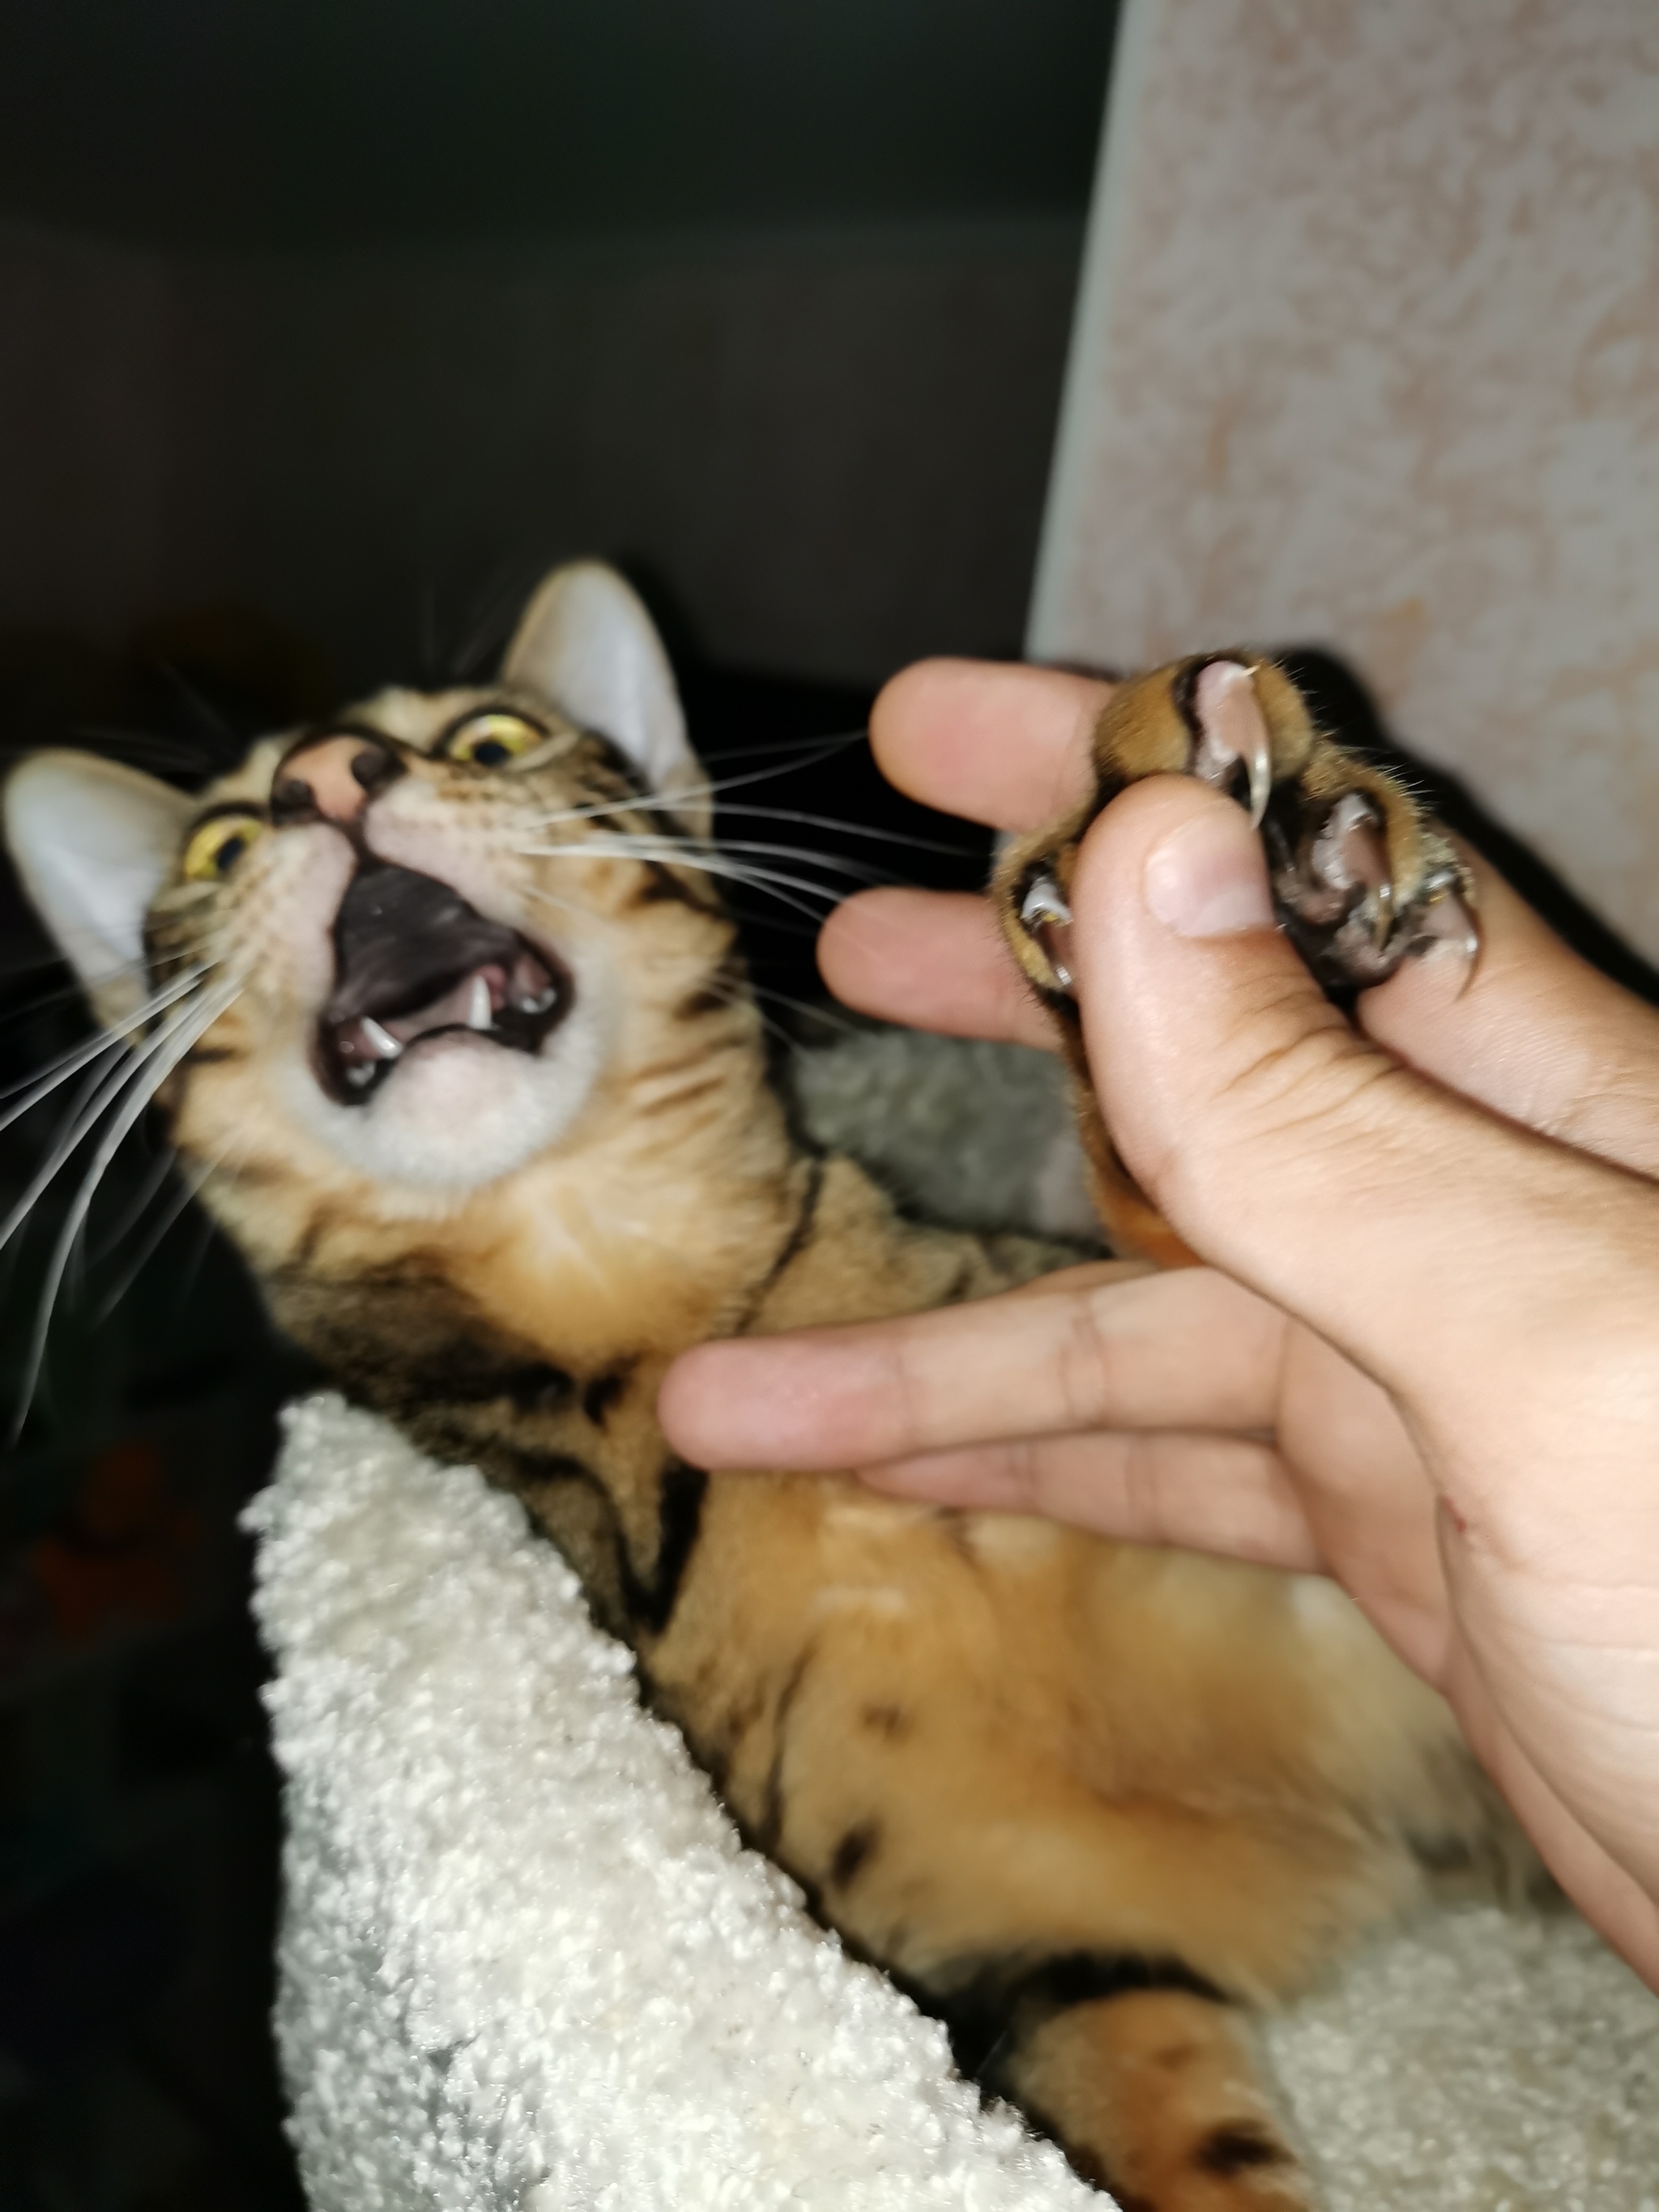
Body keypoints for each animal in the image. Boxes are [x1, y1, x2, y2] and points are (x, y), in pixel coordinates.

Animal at [6, 563, 1514, 2212]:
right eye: (220, 840)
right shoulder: (1044, 1960)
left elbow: (1182, 1205)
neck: (620, 1291)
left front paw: (1277, 865)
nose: (328, 775)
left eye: (491, 737)